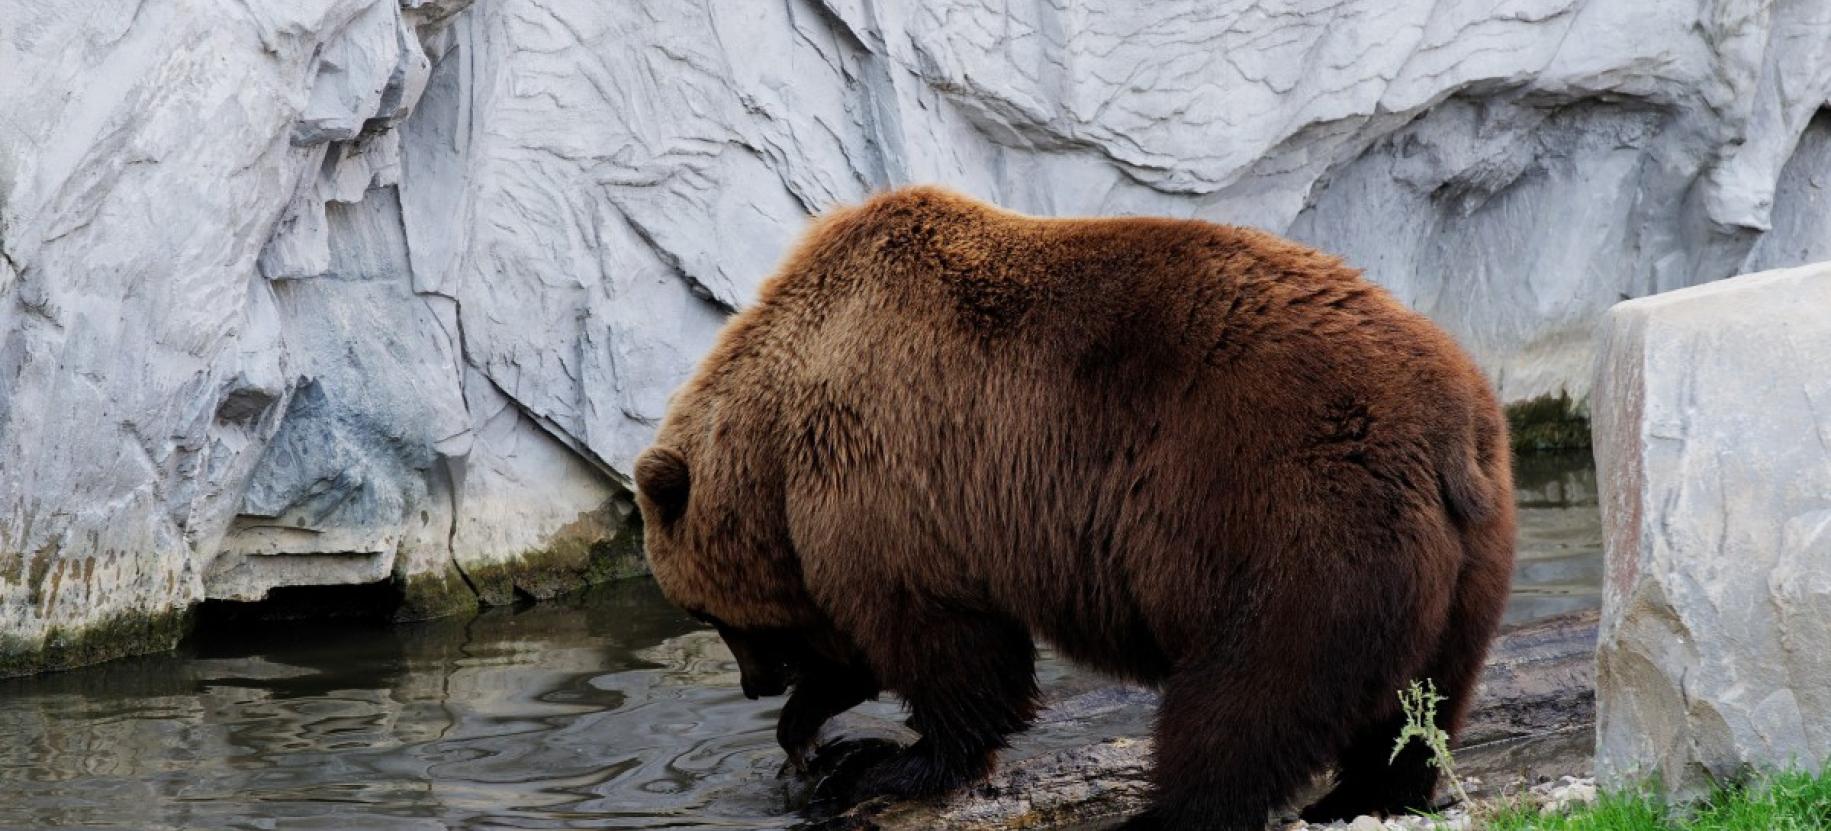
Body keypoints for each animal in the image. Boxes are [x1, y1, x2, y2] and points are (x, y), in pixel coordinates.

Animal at [629, 184, 1516, 827]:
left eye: (706, 612)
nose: (753, 686)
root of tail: (1446, 419)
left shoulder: (889, 478)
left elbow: (944, 648)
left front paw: (880, 760)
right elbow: (870, 647)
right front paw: (813, 738)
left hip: (1287, 517)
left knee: (1248, 694)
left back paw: (1168, 812)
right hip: (1469, 551)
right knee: (1419, 697)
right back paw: (1364, 790)